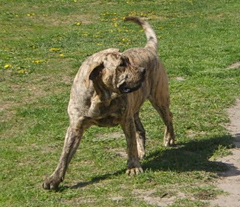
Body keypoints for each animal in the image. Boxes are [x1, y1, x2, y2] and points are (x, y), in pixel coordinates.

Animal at [42, 17, 174, 190]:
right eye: (121, 65)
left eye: (128, 61)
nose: (143, 70)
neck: (100, 96)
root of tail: (148, 49)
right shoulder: (75, 126)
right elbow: (65, 155)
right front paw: (54, 178)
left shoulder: (125, 120)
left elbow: (130, 144)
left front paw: (133, 167)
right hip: (135, 110)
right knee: (141, 129)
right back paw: (142, 151)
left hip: (159, 98)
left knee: (168, 117)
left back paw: (169, 138)